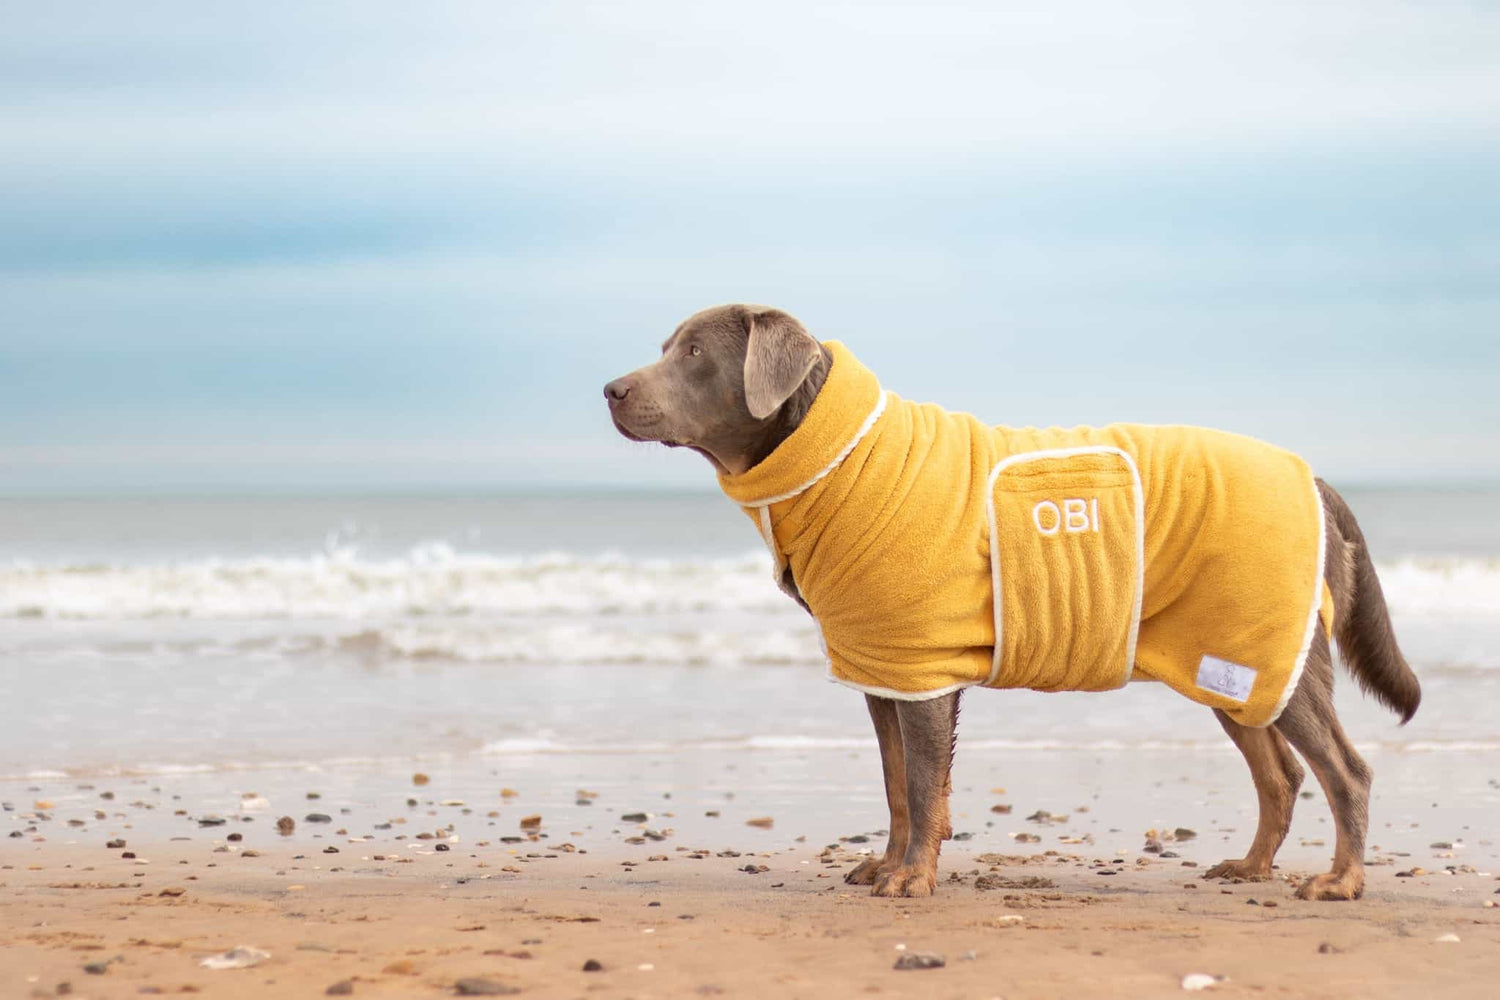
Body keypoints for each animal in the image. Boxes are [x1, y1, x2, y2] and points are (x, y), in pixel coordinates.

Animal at [600, 302, 1416, 899]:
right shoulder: (883, 670)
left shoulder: (924, 668)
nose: (610, 389)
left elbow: (922, 781)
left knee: (1345, 770)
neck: (837, 459)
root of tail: (1316, 479)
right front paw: (887, 864)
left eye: (695, 354)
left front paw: (911, 879)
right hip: (1224, 659)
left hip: (1275, 651)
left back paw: (1340, 881)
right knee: (1280, 773)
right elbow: (897, 784)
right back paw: (1251, 868)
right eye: (668, 347)